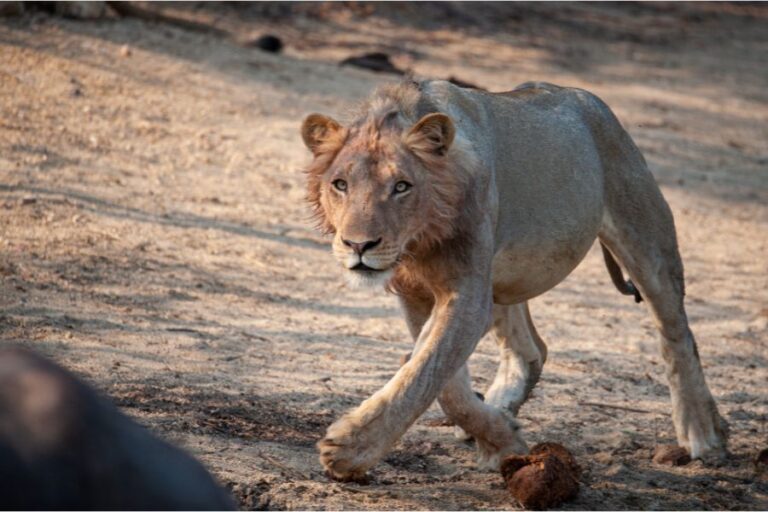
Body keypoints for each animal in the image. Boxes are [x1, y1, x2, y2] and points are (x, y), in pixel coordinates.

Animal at [300, 79, 728, 481]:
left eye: (401, 186)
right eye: (340, 185)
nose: (358, 245)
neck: (418, 240)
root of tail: (588, 99)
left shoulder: (467, 292)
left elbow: (425, 372)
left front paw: (351, 448)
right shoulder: (416, 293)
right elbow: (444, 383)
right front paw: (501, 438)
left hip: (645, 239)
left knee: (677, 334)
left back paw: (702, 431)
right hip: (503, 280)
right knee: (531, 349)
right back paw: (501, 407)